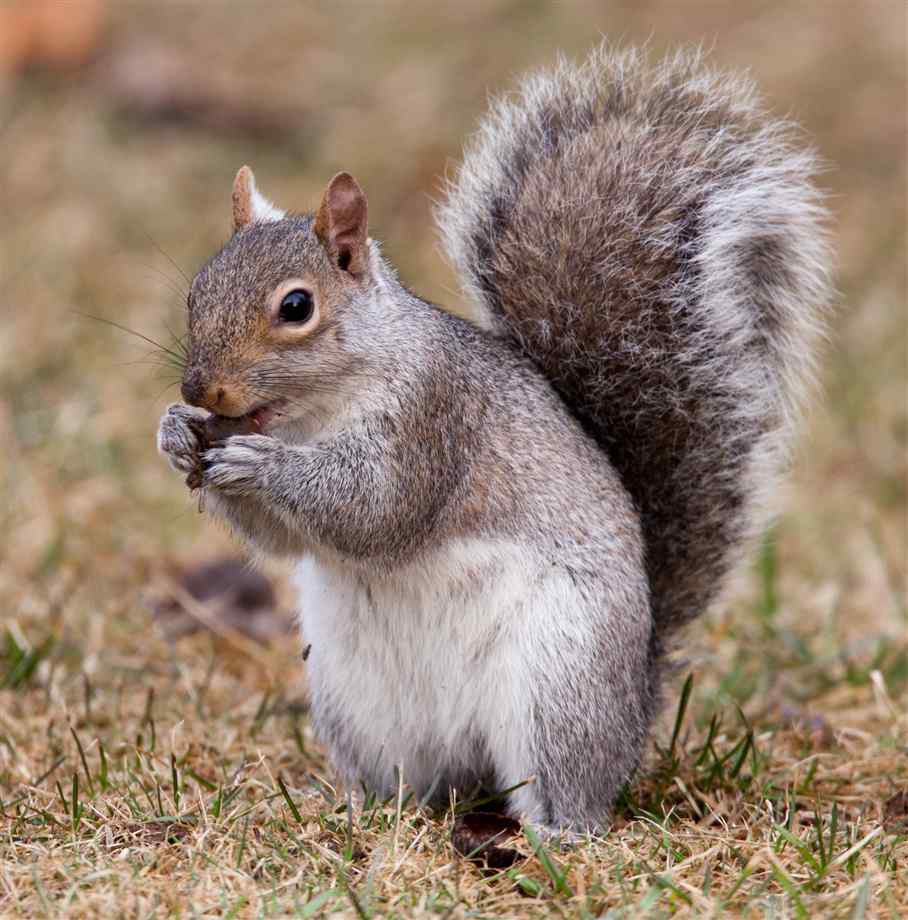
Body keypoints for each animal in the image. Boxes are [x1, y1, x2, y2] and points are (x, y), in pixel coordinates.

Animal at [157, 45, 830, 835]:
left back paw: (552, 833)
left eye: (297, 307)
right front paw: (176, 435)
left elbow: (372, 509)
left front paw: (260, 464)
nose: (199, 391)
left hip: (558, 679)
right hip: (352, 696)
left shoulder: (433, 418)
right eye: (196, 291)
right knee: (409, 778)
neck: (315, 412)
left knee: (567, 788)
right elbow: (284, 540)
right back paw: (361, 810)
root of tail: (638, 700)